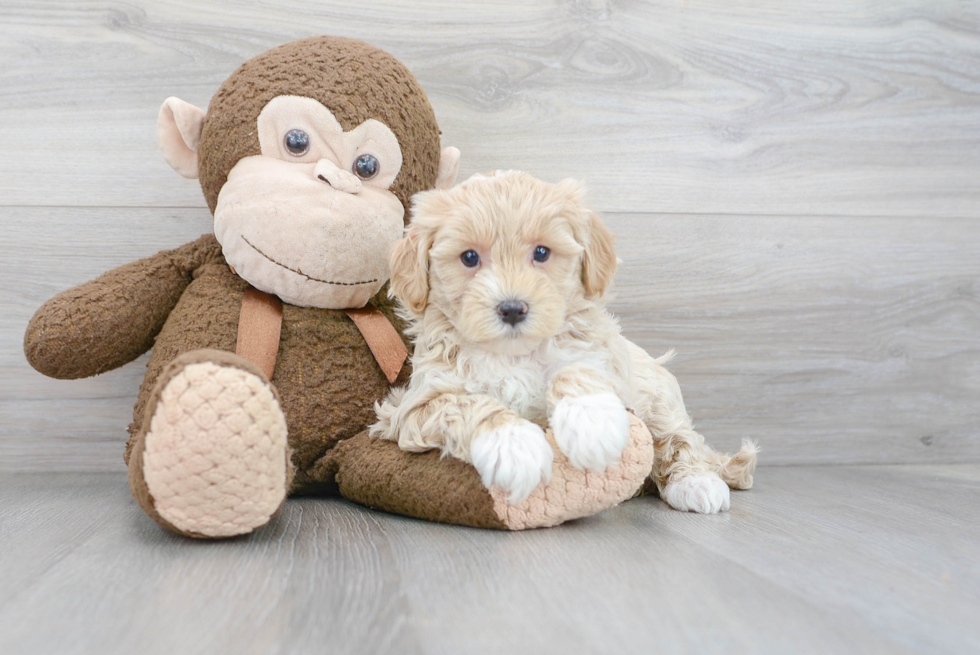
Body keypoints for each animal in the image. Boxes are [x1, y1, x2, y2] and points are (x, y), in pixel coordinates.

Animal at [370, 172, 756, 510]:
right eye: (469, 257)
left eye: (542, 253)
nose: (513, 309)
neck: (514, 355)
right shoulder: (414, 404)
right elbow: (464, 404)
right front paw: (514, 446)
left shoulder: (602, 356)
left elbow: (576, 370)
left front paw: (592, 426)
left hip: (658, 394)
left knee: (680, 438)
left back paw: (696, 483)